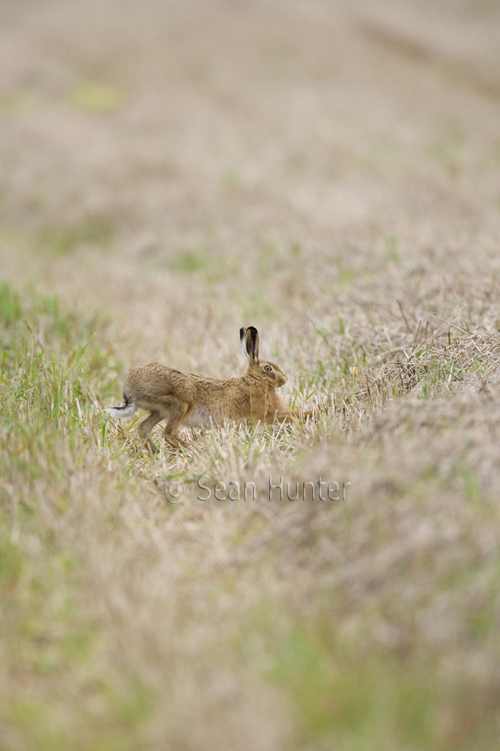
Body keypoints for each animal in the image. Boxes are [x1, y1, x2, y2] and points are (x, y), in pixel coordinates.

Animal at [106, 326, 317, 452]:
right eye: (268, 369)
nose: (284, 379)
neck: (255, 380)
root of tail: (129, 389)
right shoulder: (267, 414)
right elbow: (292, 415)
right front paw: (316, 412)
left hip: (161, 410)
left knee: (144, 428)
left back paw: (156, 454)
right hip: (180, 402)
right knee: (168, 433)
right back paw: (191, 450)